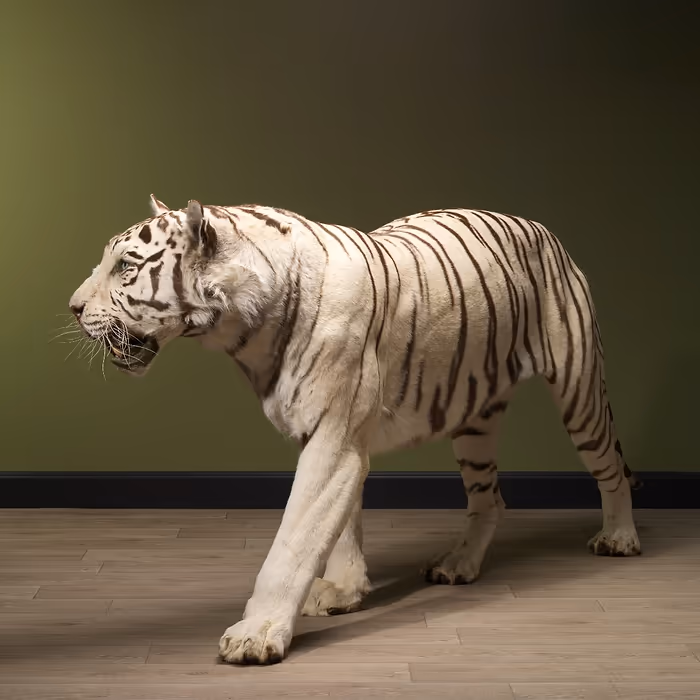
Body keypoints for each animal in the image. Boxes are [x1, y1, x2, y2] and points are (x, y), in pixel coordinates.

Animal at [69, 194, 642, 665]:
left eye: (125, 267)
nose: (73, 309)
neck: (242, 329)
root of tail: (540, 226)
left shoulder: (332, 440)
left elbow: (296, 539)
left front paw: (257, 633)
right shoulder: (323, 436)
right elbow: (341, 526)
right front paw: (345, 591)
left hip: (579, 388)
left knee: (610, 465)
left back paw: (619, 538)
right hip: (475, 423)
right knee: (490, 497)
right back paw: (459, 564)